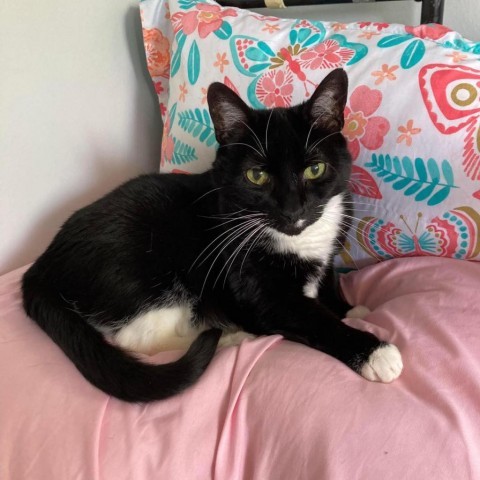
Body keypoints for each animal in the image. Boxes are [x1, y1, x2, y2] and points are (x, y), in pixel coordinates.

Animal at [21, 69, 402, 404]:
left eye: (315, 169)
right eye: (256, 176)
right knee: (137, 337)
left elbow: (327, 280)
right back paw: (231, 337)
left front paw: (350, 308)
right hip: (139, 265)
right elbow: (310, 316)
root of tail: (41, 266)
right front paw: (374, 351)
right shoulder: (257, 288)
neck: (298, 238)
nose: (293, 210)